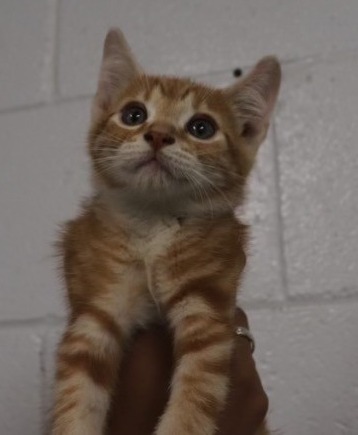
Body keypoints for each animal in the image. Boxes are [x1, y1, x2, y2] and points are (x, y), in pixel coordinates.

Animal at [51, 29, 280, 434]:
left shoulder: (208, 302)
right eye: (134, 115)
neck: (152, 225)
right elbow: (77, 394)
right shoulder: (94, 310)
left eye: (202, 127)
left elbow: (197, 390)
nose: (157, 134)